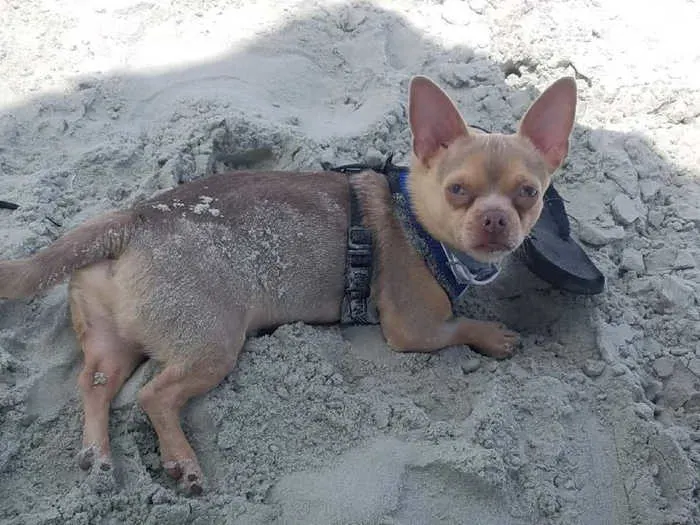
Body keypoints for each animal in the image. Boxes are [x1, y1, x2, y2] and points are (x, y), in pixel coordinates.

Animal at [0, 75, 576, 494]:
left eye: (528, 192)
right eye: (457, 190)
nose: (495, 219)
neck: (413, 213)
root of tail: (133, 219)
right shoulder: (414, 330)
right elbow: (459, 325)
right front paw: (495, 335)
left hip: (112, 339)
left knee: (95, 384)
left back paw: (98, 458)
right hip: (212, 343)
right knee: (154, 396)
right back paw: (183, 463)